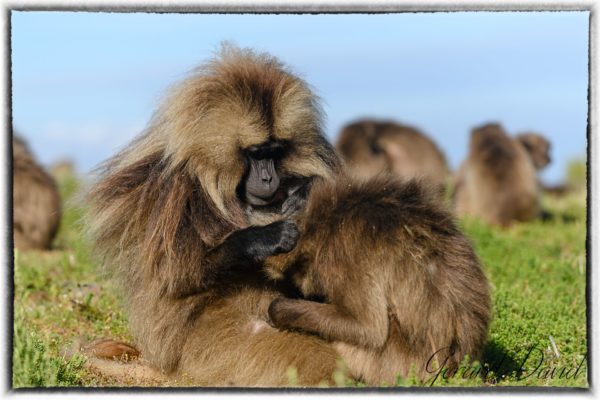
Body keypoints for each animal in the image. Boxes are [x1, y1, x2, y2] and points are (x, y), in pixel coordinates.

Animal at [86, 45, 347, 386]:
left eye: (276, 151)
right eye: (256, 154)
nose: (268, 179)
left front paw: (307, 191)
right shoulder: (172, 191)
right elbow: (174, 275)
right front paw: (265, 238)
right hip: (205, 348)